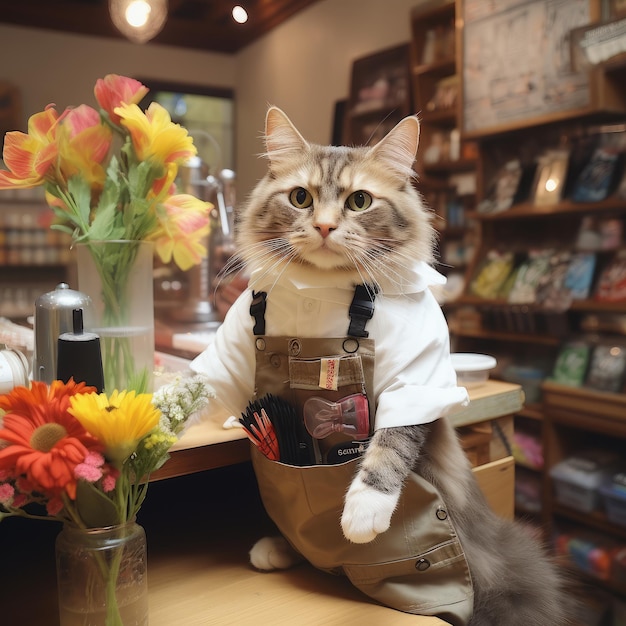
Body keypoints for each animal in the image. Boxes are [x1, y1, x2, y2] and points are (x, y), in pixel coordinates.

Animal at [191, 107, 572, 624]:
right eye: (300, 198)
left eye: (359, 201)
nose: (325, 227)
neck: (320, 292)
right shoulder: (227, 353)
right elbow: (183, 393)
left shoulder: (414, 383)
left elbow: (390, 445)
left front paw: (363, 511)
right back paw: (278, 548)